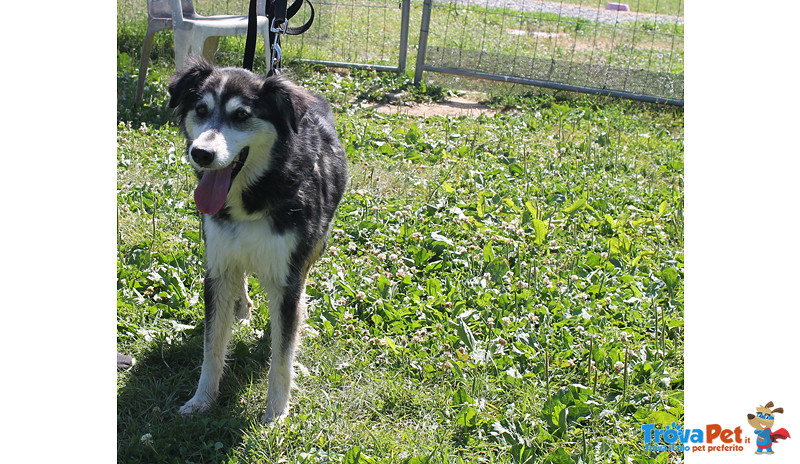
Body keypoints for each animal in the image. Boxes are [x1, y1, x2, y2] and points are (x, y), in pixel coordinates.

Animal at [167, 58, 346, 424]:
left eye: (241, 116)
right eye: (201, 109)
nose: (201, 153)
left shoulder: (287, 276)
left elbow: (282, 356)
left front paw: (276, 414)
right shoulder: (218, 265)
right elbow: (212, 346)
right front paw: (202, 399)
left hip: (314, 246)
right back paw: (242, 307)